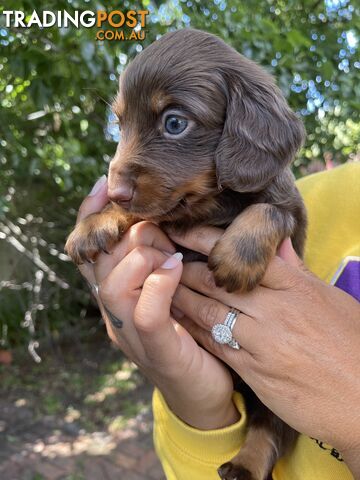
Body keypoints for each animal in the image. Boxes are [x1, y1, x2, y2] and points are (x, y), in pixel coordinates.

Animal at [65, 29, 306, 480]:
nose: (116, 190)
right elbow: (148, 212)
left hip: (276, 396)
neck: (211, 204)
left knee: (269, 427)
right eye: (121, 124)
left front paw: (236, 258)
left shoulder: (289, 211)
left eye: (174, 123)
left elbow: (267, 211)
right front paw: (95, 223)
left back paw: (245, 464)